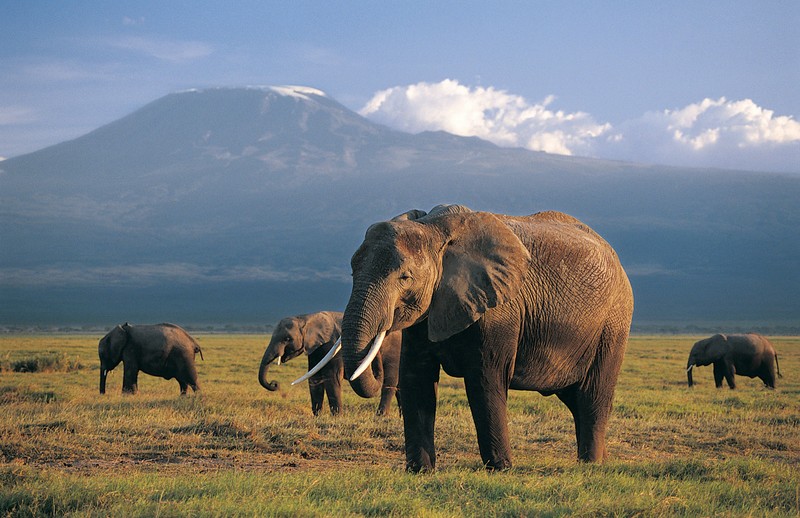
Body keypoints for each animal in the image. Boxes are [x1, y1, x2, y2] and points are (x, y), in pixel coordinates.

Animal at [260, 312, 404, 418]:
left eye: (287, 339)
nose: (275, 384)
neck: (306, 318)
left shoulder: (333, 346)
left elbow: (332, 378)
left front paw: (337, 417)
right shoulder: (316, 349)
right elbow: (315, 378)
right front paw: (317, 416)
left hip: (394, 352)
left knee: (389, 383)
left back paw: (380, 416)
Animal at [304, 205, 636, 474]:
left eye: (405, 277)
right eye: (352, 271)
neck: (434, 229)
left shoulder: (499, 309)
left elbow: (485, 381)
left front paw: (501, 469)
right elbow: (417, 380)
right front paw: (420, 471)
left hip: (613, 324)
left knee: (592, 396)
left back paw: (591, 464)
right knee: (575, 399)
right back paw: (598, 459)